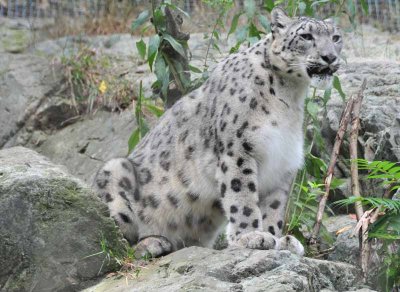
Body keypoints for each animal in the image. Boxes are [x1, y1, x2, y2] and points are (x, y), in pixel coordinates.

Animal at [93, 6, 340, 256]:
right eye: (306, 36)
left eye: (336, 38)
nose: (330, 57)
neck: (290, 96)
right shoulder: (238, 150)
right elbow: (243, 196)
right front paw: (251, 236)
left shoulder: (283, 162)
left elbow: (274, 207)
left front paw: (278, 239)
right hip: (115, 174)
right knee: (114, 242)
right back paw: (153, 242)